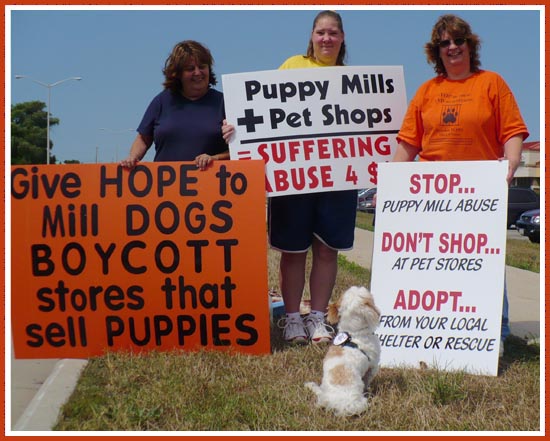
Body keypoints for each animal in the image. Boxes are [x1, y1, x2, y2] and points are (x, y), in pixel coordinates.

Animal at [304, 286, 382, 416]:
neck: (353, 333)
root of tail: (331, 401)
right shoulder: (373, 366)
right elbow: (368, 379)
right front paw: (368, 388)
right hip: (358, 402)